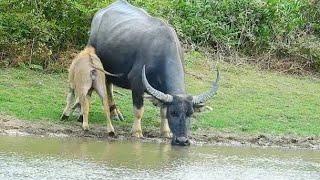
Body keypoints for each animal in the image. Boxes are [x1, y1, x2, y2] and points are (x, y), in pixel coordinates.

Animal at [87, 0, 219, 146]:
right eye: (173, 112)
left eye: (190, 113)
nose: (182, 140)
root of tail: (100, 13)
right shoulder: (137, 83)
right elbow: (138, 110)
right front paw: (137, 132)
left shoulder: (164, 91)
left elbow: (162, 111)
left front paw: (166, 132)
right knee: (107, 85)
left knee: (109, 84)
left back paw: (115, 113)